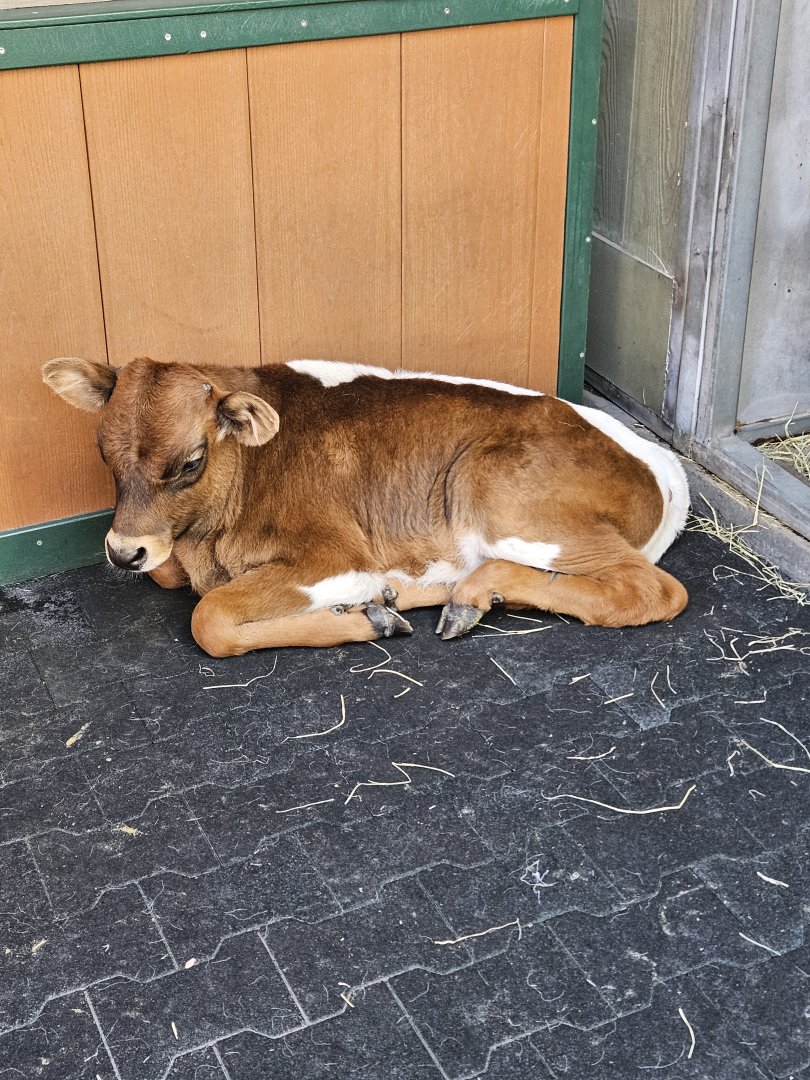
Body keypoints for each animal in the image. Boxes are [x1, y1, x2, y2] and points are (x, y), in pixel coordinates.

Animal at [42, 356, 689, 657]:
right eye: (103, 452)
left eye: (191, 461)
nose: (123, 552)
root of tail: (664, 468)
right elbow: (171, 578)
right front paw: (370, 608)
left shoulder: (331, 555)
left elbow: (212, 619)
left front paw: (360, 618)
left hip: (496, 493)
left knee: (653, 589)